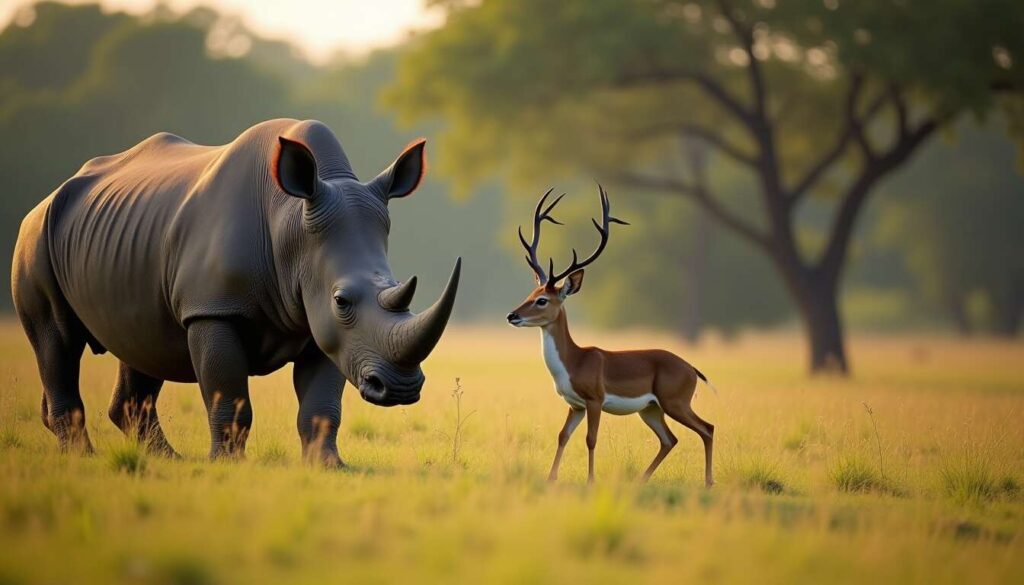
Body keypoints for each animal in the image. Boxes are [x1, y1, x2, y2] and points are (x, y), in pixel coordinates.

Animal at [11, 119, 461, 465]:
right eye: (342, 300)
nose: (400, 389)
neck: (290, 225)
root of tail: (51, 195)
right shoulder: (213, 309)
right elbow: (227, 393)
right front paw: (228, 464)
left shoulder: (328, 329)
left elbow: (321, 407)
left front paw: (329, 466)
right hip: (35, 238)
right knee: (56, 340)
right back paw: (82, 458)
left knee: (139, 344)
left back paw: (166, 460)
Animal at [506, 186, 716, 486]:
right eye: (530, 293)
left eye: (543, 300)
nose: (512, 315)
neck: (574, 361)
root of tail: (692, 368)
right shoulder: (575, 405)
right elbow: (562, 436)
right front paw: (551, 478)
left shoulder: (594, 401)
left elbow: (591, 439)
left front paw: (591, 480)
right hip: (650, 409)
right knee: (670, 439)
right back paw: (641, 480)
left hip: (675, 402)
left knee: (707, 428)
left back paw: (708, 482)